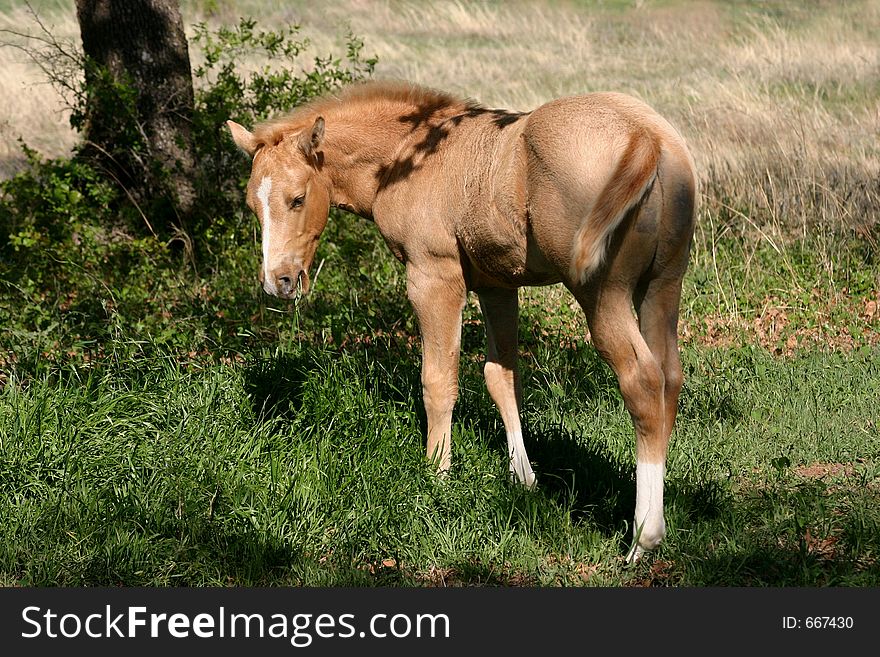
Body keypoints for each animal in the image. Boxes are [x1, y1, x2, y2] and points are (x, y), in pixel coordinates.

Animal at [230, 79, 696, 556]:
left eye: (298, 198)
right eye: (252, 205)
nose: (279, 281)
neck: (406, 154)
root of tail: (646, 135)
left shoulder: (433, 277)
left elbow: (438, 381)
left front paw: (436, 474)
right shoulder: (497, 286)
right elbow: (502, 376)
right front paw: (522, 479)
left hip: (603, 292)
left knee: (642, 381)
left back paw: (644, 535)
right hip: (662, 285)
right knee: (669, 376)